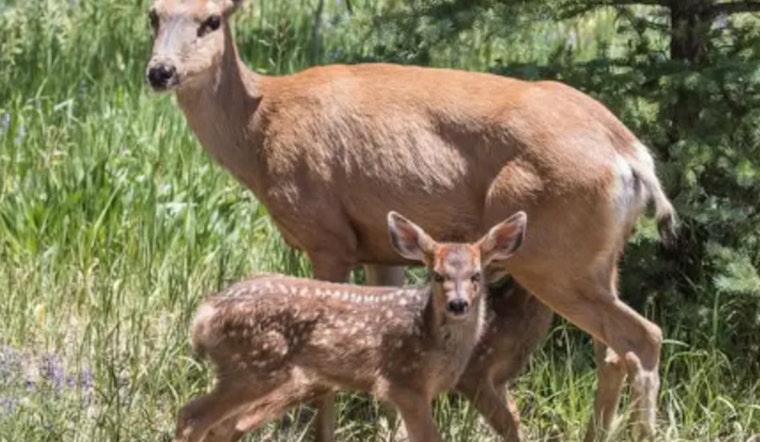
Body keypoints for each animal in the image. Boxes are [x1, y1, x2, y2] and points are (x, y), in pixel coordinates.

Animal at [173, 210, 528, 442]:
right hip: (254, 366)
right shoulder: (403, 383)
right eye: (437, 275)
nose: (458, 304)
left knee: (218, 425)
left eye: (476, 275)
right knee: (192, 417)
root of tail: (204, 315)